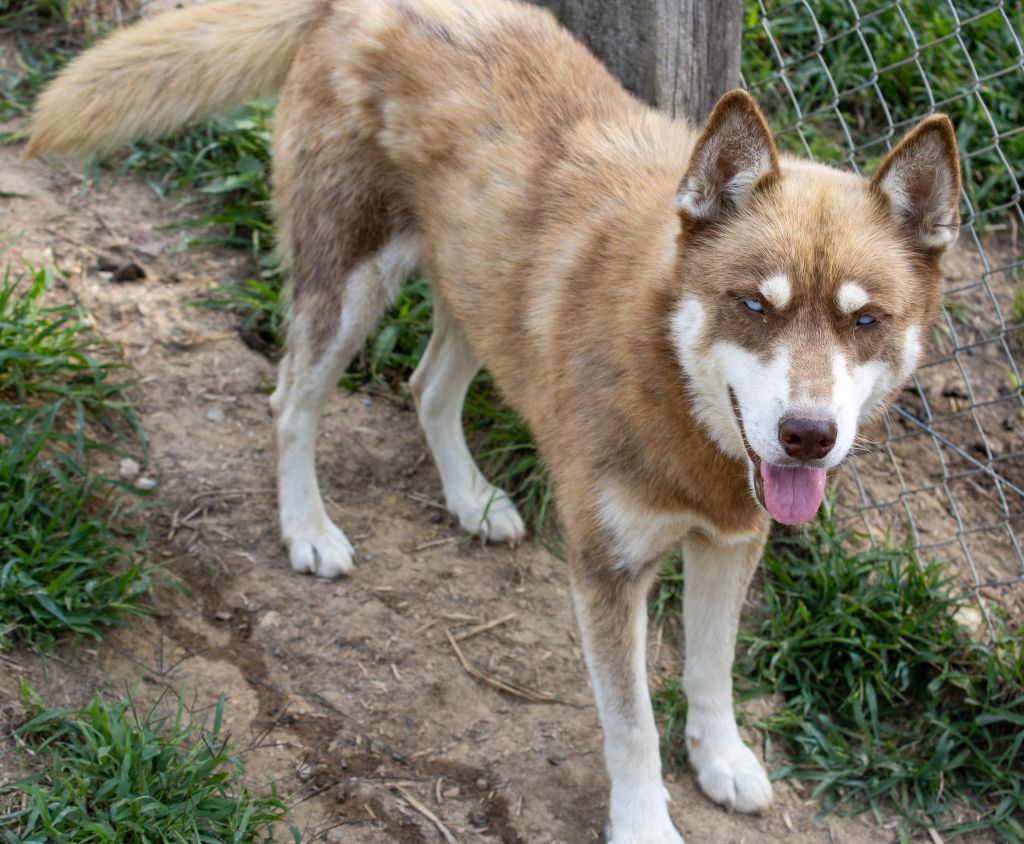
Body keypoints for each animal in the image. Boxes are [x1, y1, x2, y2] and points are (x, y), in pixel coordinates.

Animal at [29, 1, 958, 835]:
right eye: (754, 305)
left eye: (865, 320)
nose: (809, 435)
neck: (672, 386)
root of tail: (350, 7)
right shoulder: (606, 573)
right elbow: (632, 730)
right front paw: (645, 822)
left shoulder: (731, 543)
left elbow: (710, 673)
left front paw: (721, 759)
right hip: (347, 291)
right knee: (292, 402)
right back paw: (308, 528)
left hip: (478, 297)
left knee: (426, 388)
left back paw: (470, 500)